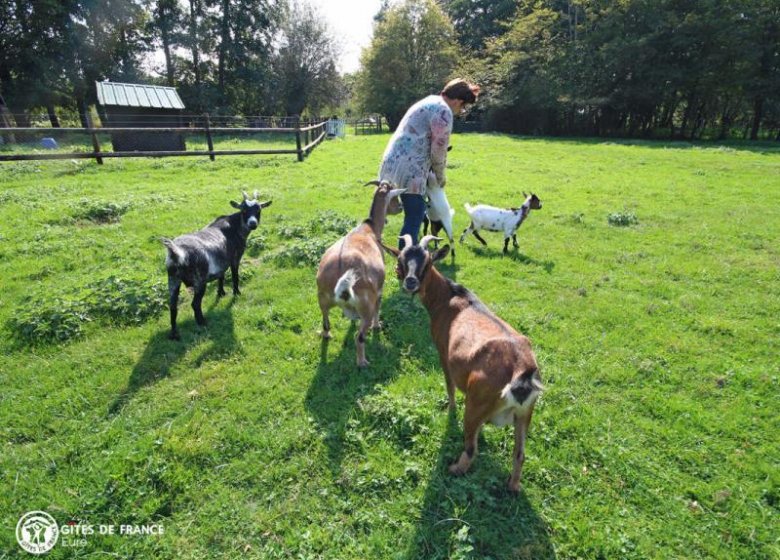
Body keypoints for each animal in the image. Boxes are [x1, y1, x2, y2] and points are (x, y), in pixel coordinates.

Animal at [161, 190, 272, 340]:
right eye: (243, 210)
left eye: (259, 210)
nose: (252, 223)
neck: (234, 227)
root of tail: (177, 252)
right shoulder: (235, 258)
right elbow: (235, 276)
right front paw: (236, 293)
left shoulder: (222, 262)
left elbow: (221, 276)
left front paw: (221, 293)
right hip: (199, 280)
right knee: (195, 303)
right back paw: (202, 322)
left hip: (173, 278)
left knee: (173, 306)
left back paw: (174, 334)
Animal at [316, 179, 406, 370]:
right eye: (395, 197)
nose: (401, 207)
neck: (369, 228)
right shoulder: (379, 290)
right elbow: (378, 308)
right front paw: (377, 326)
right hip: (366, 305)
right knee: (360, 337)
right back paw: (362, 362)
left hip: (323, 300)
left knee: (326, 323)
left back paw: (327, 336)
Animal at [384, 235, 544, 490]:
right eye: (401, 259)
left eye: (427, 262)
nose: (410, 282)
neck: (448, 298)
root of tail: (522, 370)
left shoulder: (443, 353)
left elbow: (449, 386)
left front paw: (450, 410)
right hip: (525, 414)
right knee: (519, 454)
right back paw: (512, 487)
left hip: (476, 402)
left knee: (470, 448)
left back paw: (454, 469)